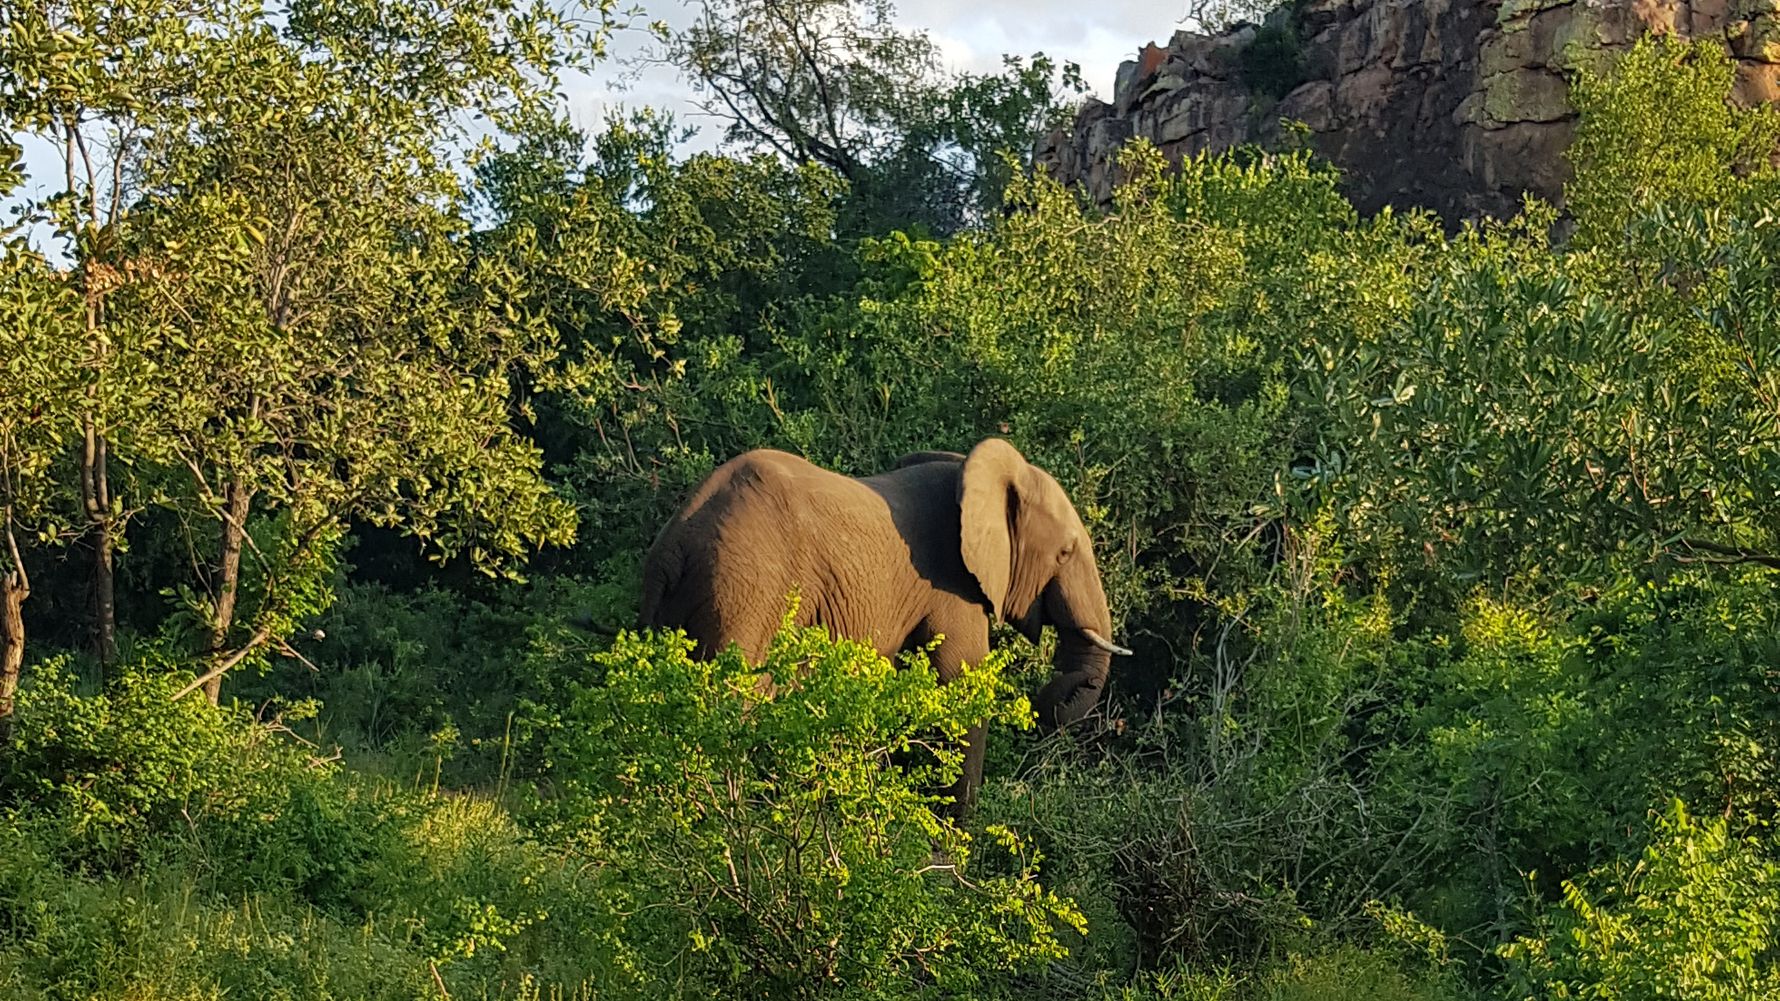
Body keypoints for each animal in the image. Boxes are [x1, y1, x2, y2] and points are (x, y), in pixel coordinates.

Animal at [639, 437, 1131, 815]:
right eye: (1064, 554)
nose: (1053, 697)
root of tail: (676, 538)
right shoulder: (952, 583)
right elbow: (963, 684)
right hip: (747, 592)